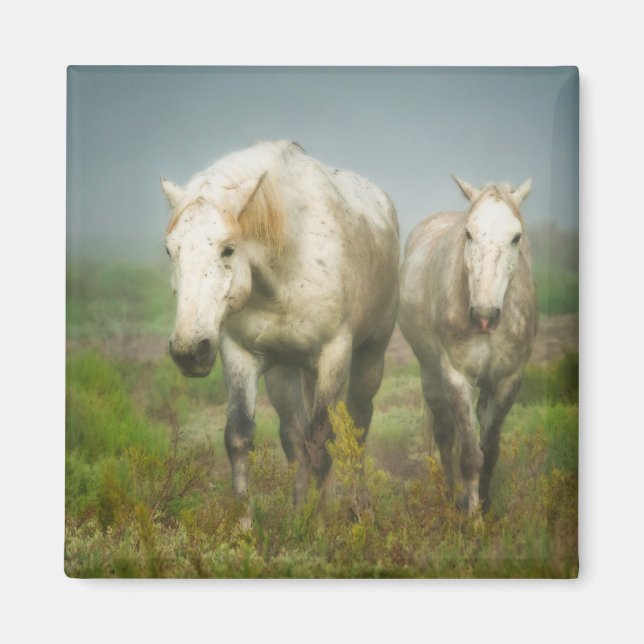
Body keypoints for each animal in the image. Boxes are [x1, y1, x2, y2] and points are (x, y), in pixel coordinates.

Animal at [161, 140, 399, 508]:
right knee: (294, 436)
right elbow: (240, 439)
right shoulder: (239, 355)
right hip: (283, 373)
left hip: (371, 354)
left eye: (228, 250)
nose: (189, 350)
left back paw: (357, 507)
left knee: (358, 425)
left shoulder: (334, 355)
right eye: (170, 251)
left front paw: (316, 521)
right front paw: (253, 522)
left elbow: (322, 444)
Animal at [398, 176, 537, 514]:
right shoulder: (457, 377)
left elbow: (490, 451)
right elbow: (471, 456)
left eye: (516, 237)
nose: (484, 316)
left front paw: (485, 506)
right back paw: (450, 498)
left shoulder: (508, 381)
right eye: (469, 233)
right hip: (431, 375)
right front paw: (473, 518)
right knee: (445, 435)